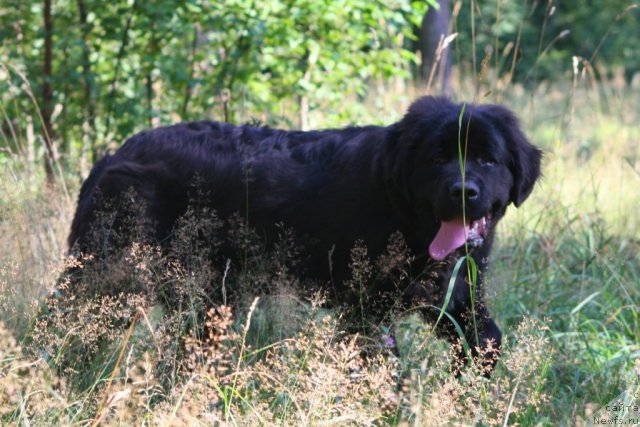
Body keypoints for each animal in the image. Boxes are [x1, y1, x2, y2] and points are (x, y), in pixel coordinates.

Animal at [69, 96, 540, 374]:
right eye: (437, 158)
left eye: (487, 159)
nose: (463, 191)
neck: (400, 204)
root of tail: (114, 155)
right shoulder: (365, 309)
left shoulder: (456, 295)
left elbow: (487, 340)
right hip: (109, 276)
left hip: (207, 294)